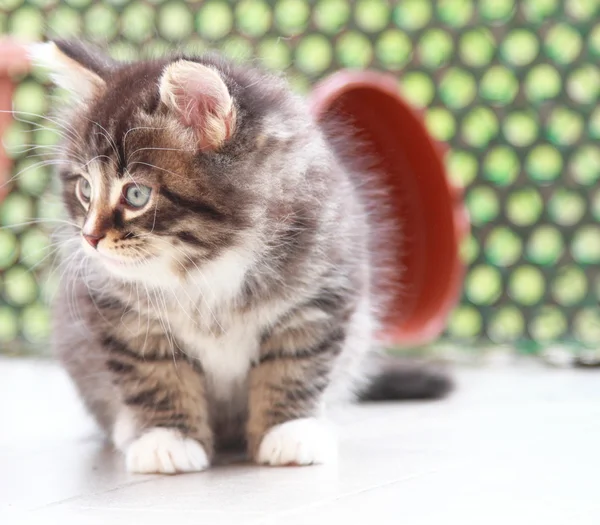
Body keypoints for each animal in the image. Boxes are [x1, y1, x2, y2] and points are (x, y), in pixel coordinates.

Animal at [30, 41, 448, 472]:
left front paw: (289, 431)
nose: (89, 238)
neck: (207, 266)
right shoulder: (126, 318)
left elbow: (295, 366)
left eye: (135, 195)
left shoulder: (319, 297)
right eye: (84, 189)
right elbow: (156, 377)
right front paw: (168, 438)